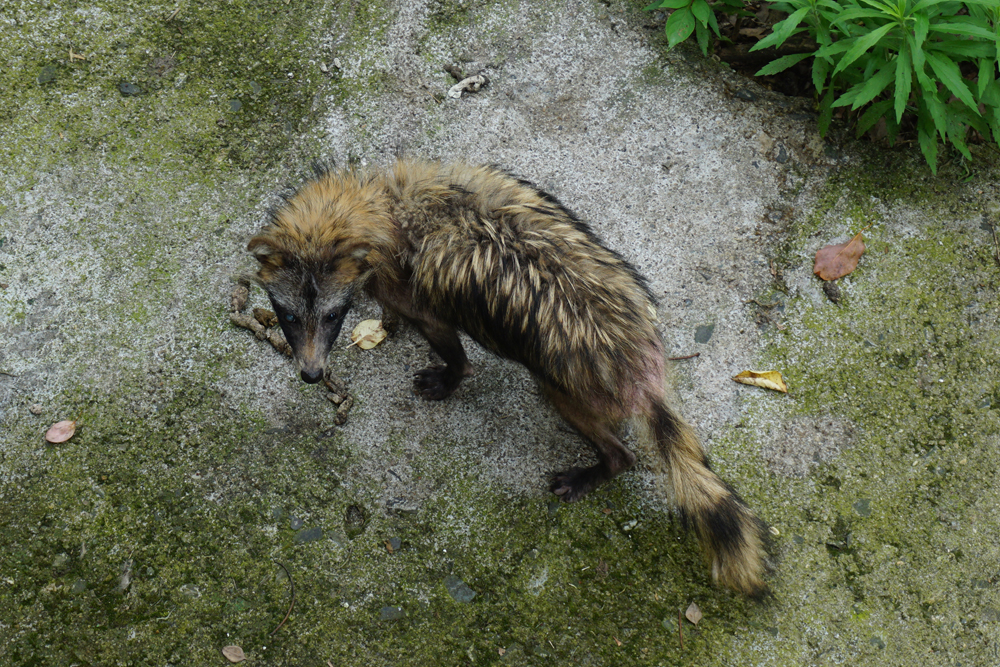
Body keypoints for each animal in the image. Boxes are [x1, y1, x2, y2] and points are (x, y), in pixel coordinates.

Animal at [247, 159, 771, 595]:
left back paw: (595, 470)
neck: (380, 209)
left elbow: (453, 353)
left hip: (565, 388)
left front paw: (448, 376)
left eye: (332, 315)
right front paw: (386, 326)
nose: (312, 375)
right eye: (288, 316)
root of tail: (642, 366)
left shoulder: (421, 301)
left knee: (621, 452)